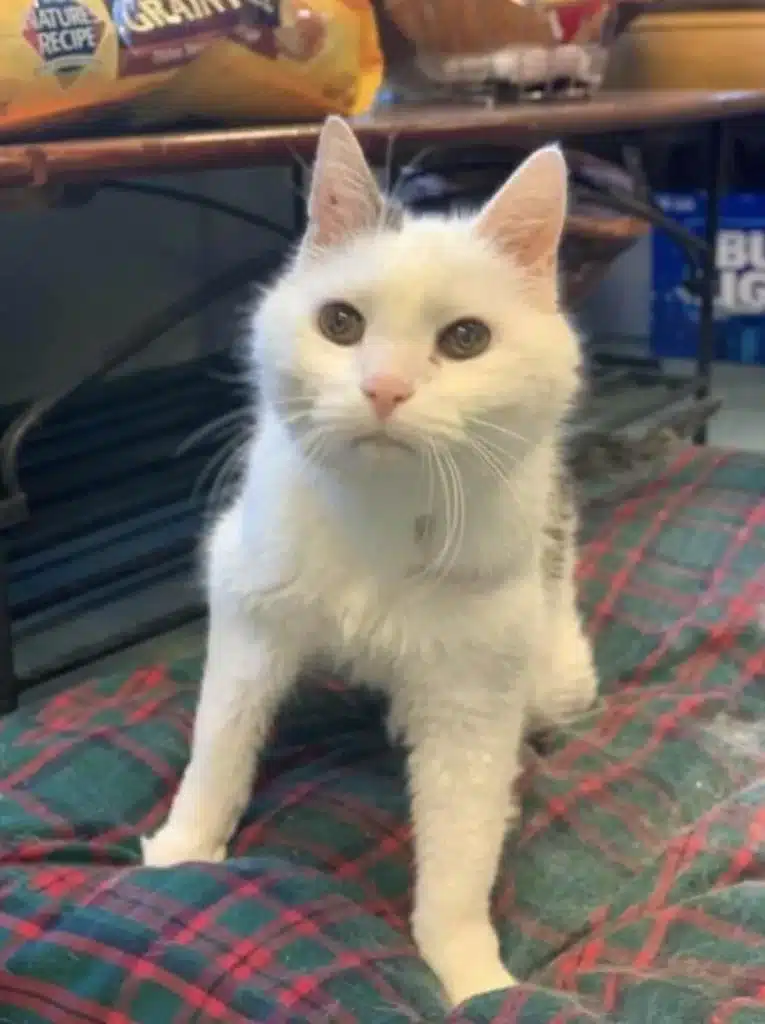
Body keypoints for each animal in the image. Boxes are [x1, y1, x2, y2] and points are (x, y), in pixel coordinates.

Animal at [143, 116, 598, 1003]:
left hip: (555, 673)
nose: (384, 388)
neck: (381, 516)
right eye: (340, 324)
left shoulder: (474, 688)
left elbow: (459, 844)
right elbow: (220, 741)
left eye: (466, 339)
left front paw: (476, 980)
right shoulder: (248, 607)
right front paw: (183, 850)